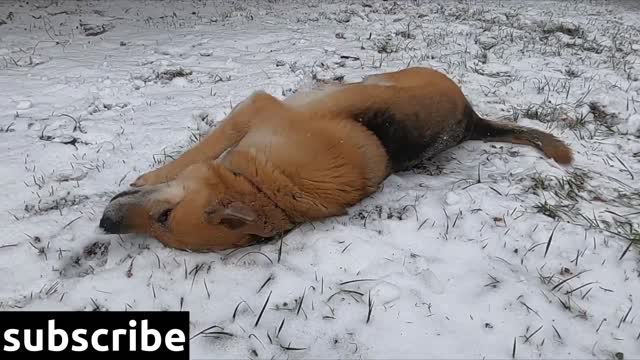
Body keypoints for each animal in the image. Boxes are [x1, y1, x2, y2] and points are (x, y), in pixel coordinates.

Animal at [101, 67, 576, 252]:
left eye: (163, 220)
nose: (105, 225)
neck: (263, 187)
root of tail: (471, 118)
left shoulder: (256, 108)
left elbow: (201, 147)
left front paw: (149, 175)